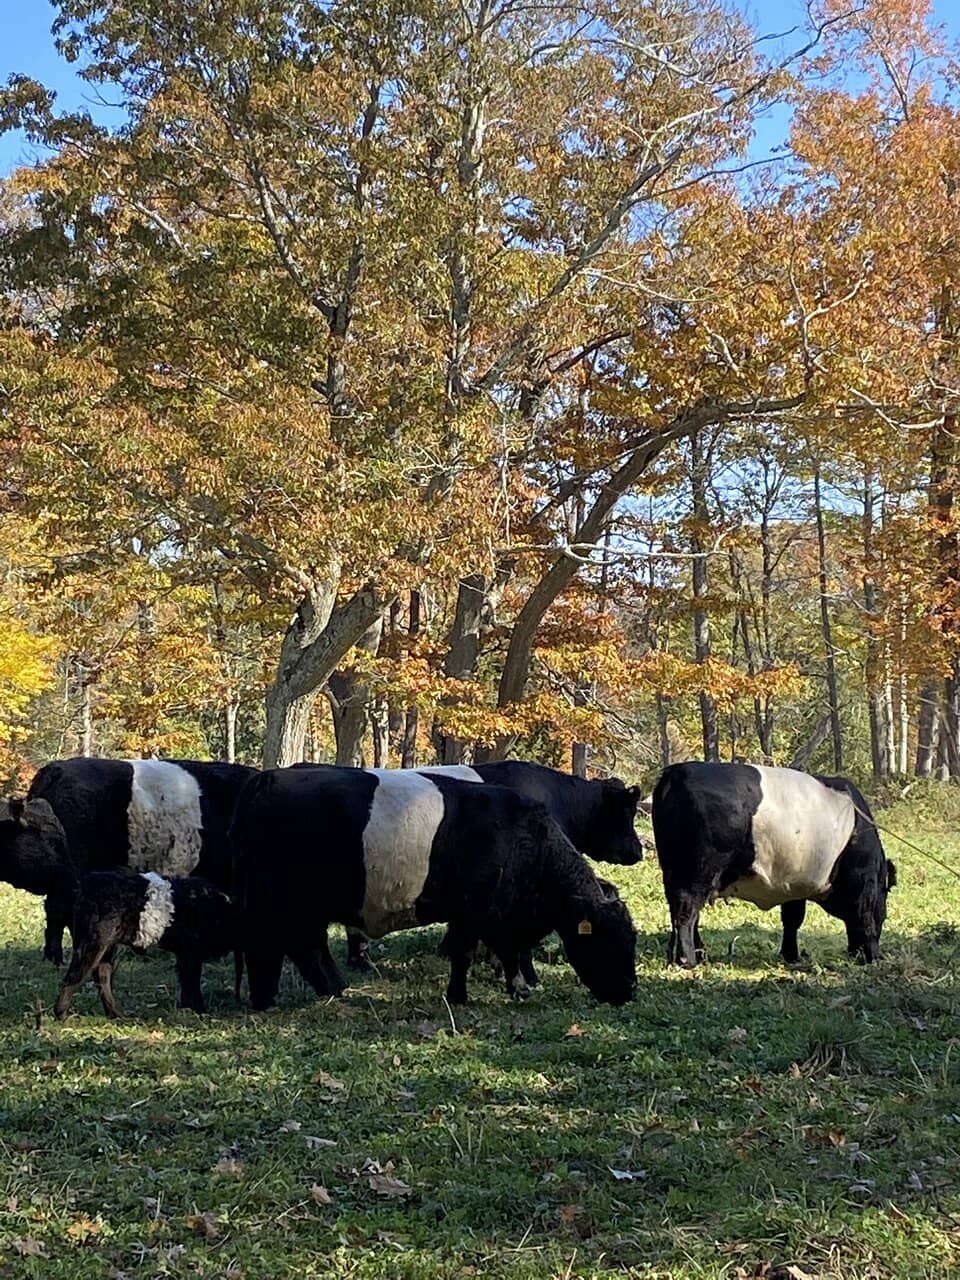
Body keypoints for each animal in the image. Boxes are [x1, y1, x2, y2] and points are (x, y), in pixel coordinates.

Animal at [54, 870, 237, 1019]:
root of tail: (87, 884)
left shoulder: (186, 955)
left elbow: (186, 982)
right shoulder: (191, 953)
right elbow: (192, 982)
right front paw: (200, 1011)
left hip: (107, 947)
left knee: (101, 974)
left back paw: (116, 1014)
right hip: (94, 943)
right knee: (74, 976)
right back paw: (61, 1014)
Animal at [651, 761, 896, 967]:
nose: (855, 953)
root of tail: (677, 771)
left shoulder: (795, 885)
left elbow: (792, 919)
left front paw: (791, 955)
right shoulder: (863, 882)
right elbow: (865, 918)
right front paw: (874, 957)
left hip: (676, 871)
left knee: (680, 911)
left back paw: (691, 955)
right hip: (698, 873)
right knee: (686, 911)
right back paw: (687, 959)